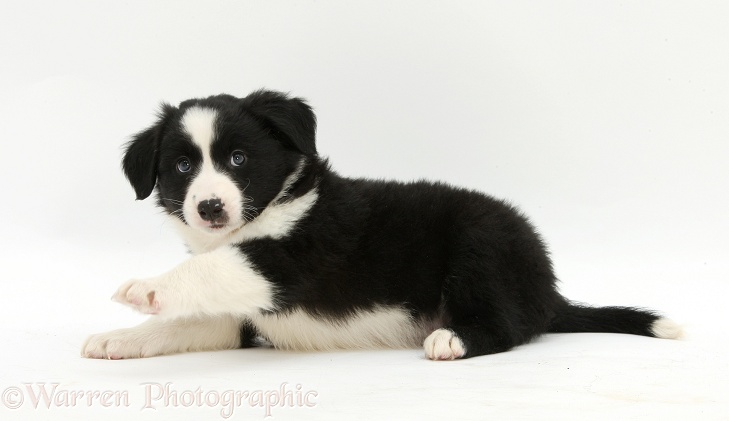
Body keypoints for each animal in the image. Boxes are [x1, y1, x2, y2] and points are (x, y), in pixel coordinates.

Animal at [81, 88, 684, 358]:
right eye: (183, 167)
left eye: (237, 159)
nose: (209, 208)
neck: (268, 211)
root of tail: (548, 289)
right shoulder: (241, 314)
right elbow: (189, 323)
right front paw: (120, 338)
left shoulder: (289, 262)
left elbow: (214, 269)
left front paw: (146, 287)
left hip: (482, 245)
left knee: (508, 327)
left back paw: (453, 339)